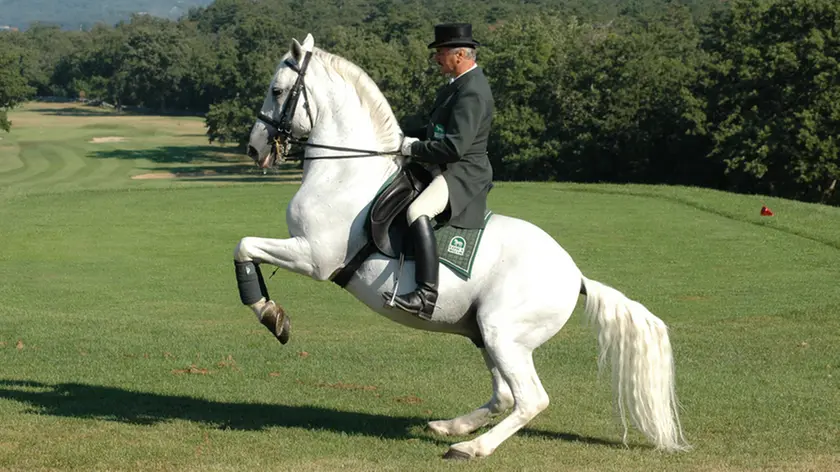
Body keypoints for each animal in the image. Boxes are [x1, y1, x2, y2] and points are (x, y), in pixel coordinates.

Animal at [231, 34, 688, 460]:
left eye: (277, 90)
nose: (255, 148)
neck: (346, 173)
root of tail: (575, 276)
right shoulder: (307, 252)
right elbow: (245, 248)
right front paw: (273, 314)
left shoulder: (313, 256)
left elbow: (243, 246)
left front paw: (272, 316)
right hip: (485, 333)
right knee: (505, 396)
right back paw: (450, 426)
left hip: (503, 332)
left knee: (530, 399)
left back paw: (471, 447)